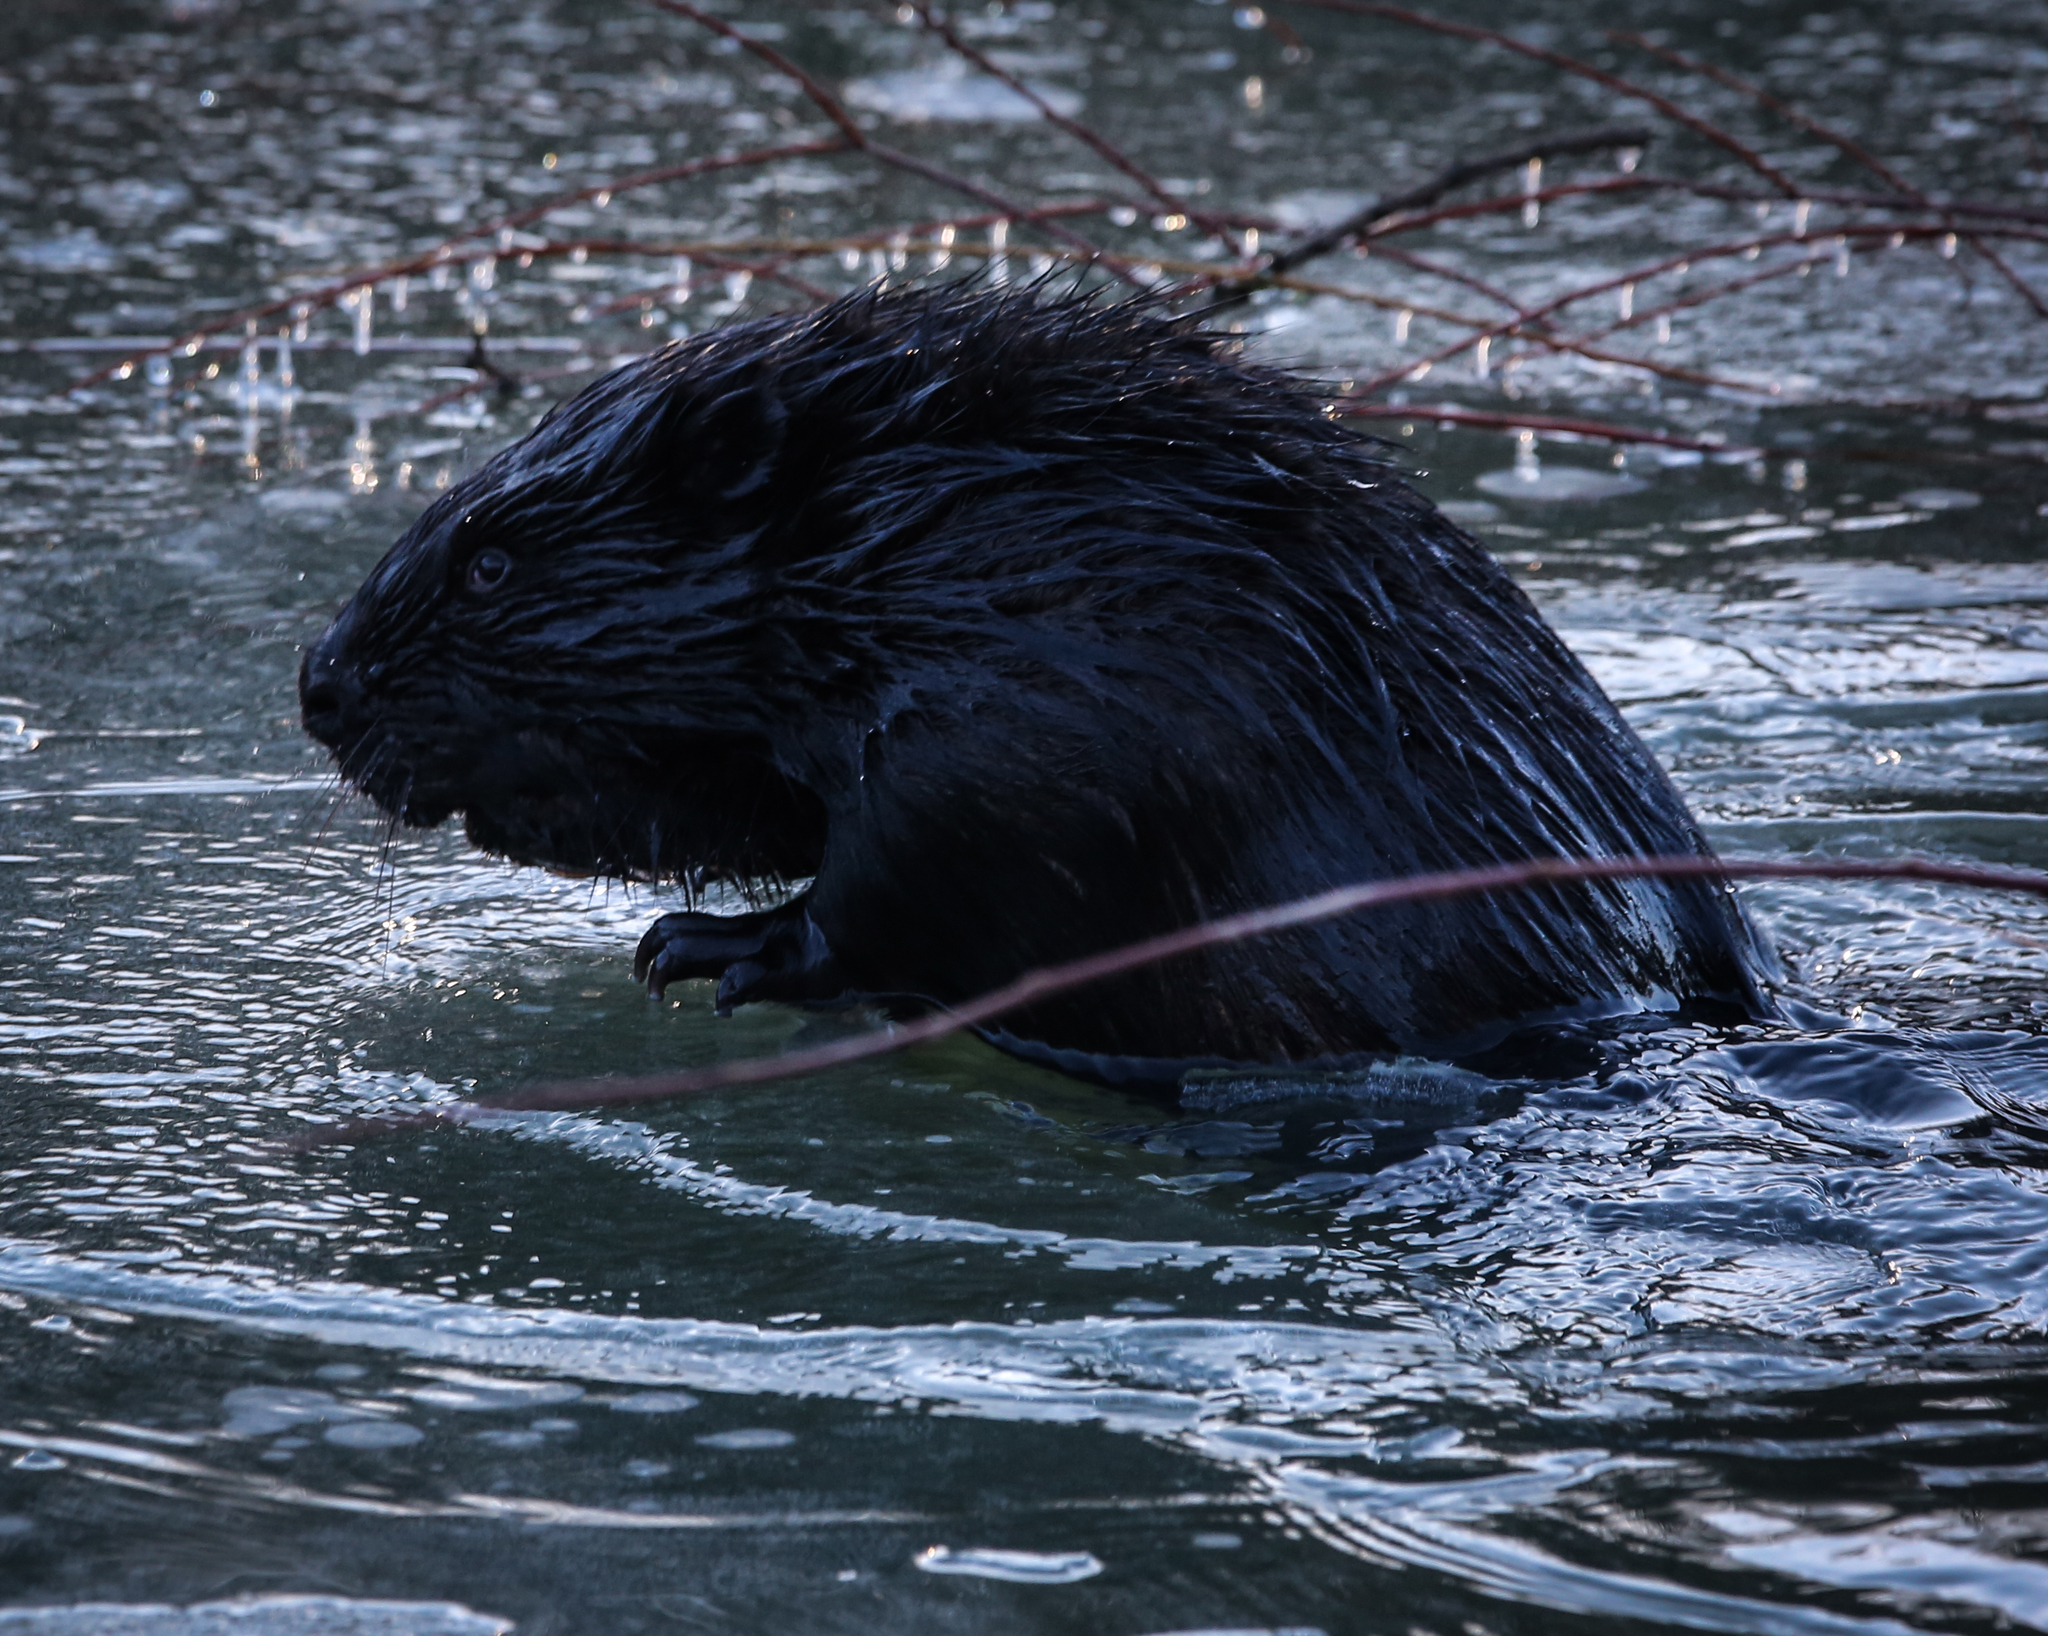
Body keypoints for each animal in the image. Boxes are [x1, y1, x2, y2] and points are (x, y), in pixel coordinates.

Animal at [292, 288, 1777, 1097]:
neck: (903, 538)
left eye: (490, 560)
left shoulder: (1041, 707)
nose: (318, 687)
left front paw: (702, 949)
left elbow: (923, 869)